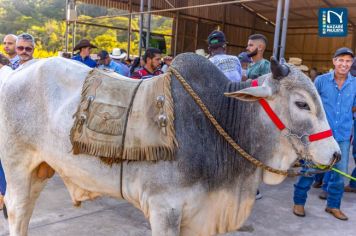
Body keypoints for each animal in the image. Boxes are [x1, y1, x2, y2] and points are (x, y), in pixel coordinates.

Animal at [0, 53, 340, 236]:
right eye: (302, 104)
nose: (335, 153)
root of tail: (17, 72)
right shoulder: (165, 209)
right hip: (17, 165)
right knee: (17, 209)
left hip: (42, 168)